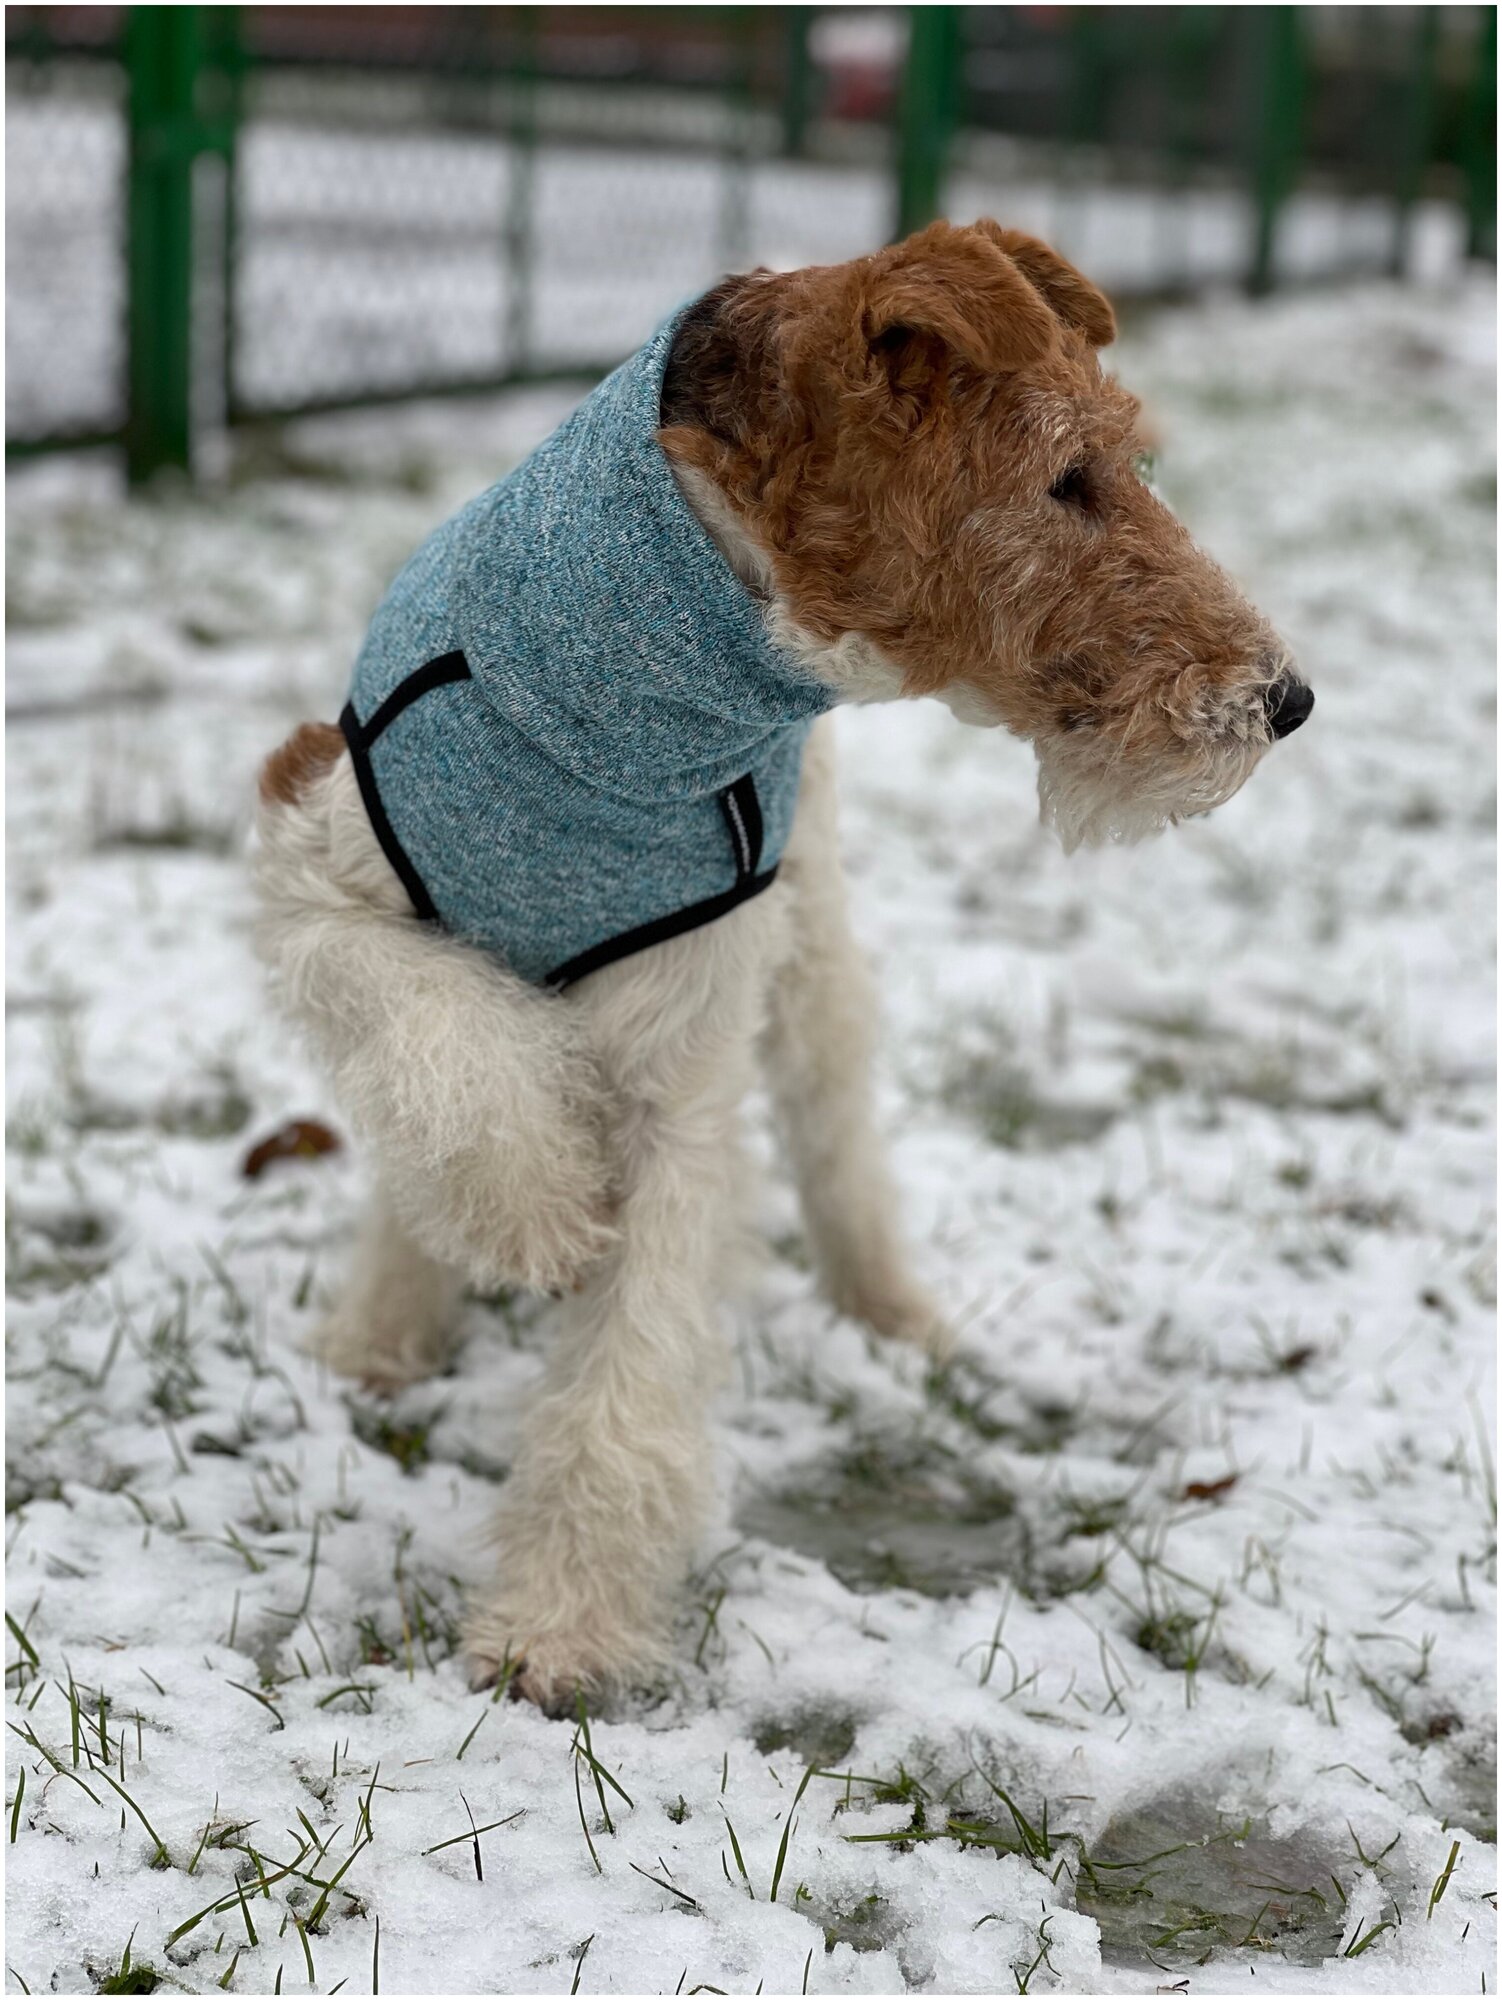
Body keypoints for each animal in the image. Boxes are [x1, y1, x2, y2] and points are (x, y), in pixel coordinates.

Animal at [258, 227, 1312, 1712]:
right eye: (1069, 476)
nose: (1283, 698)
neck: (609, 719)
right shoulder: (314, 863)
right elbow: (444, 1048)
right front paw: (533, 1218)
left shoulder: (684, 1048)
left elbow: (631, 1358)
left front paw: (557, 1632)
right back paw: (385, 1332)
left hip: (808, 960)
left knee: (837, 1145)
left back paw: (895, 1314)